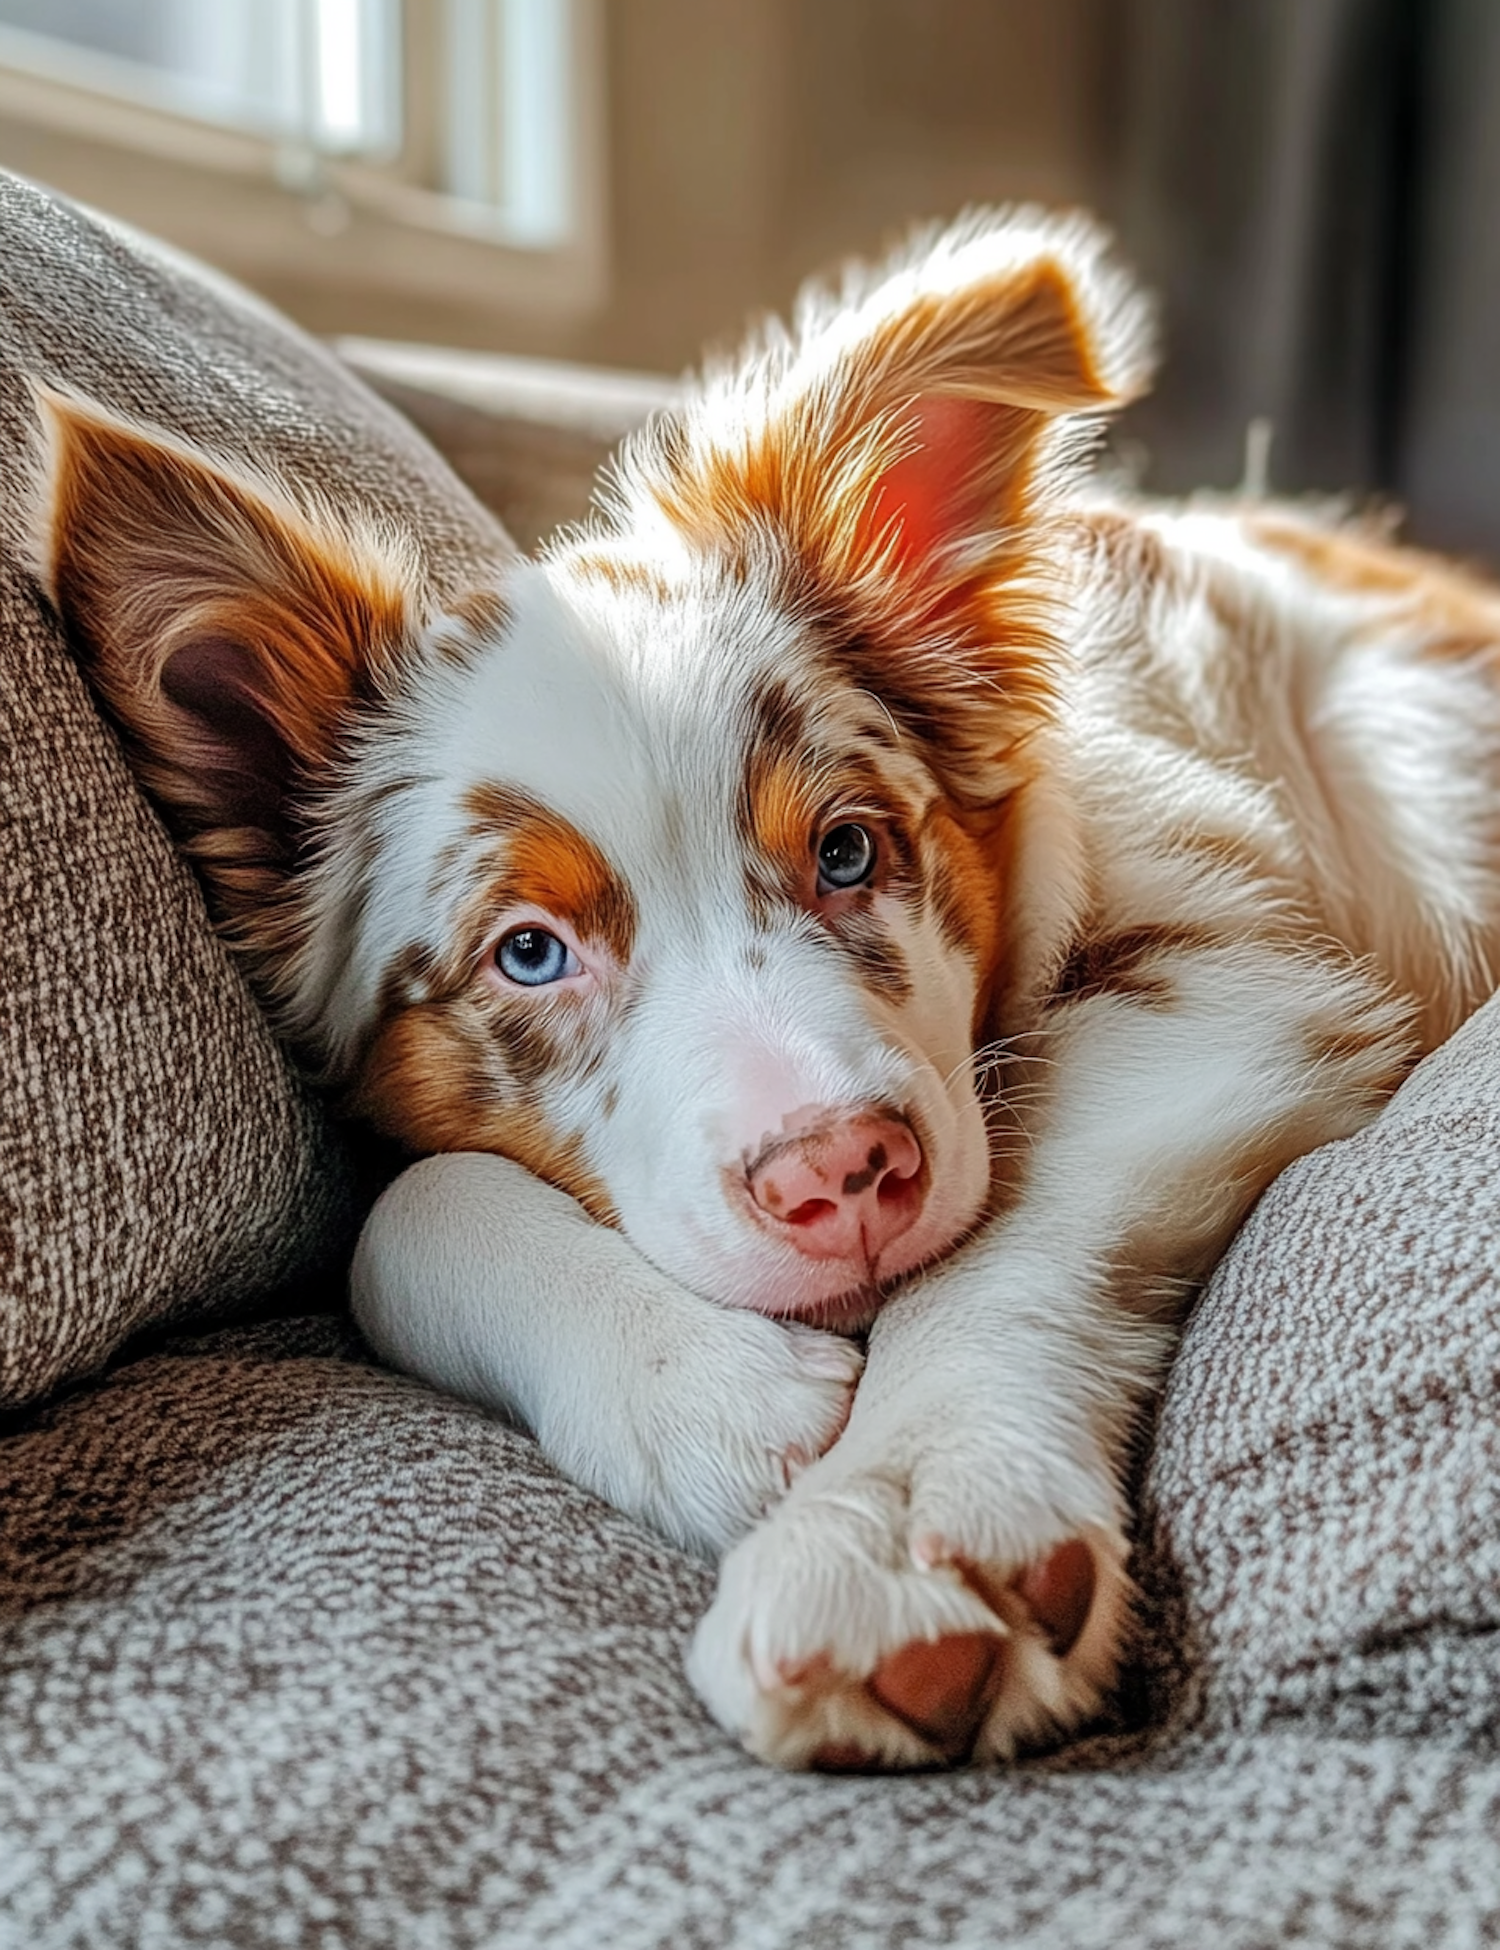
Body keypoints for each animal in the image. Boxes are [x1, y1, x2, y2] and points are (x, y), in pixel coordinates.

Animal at [29, 209, 1498, 1770]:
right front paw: (714, 1398)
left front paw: (898, 1524)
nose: (842, 1175)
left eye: (847, 850)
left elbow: (999, 1237)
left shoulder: (1241, 972)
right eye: (529, 950)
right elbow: (398, 1217)